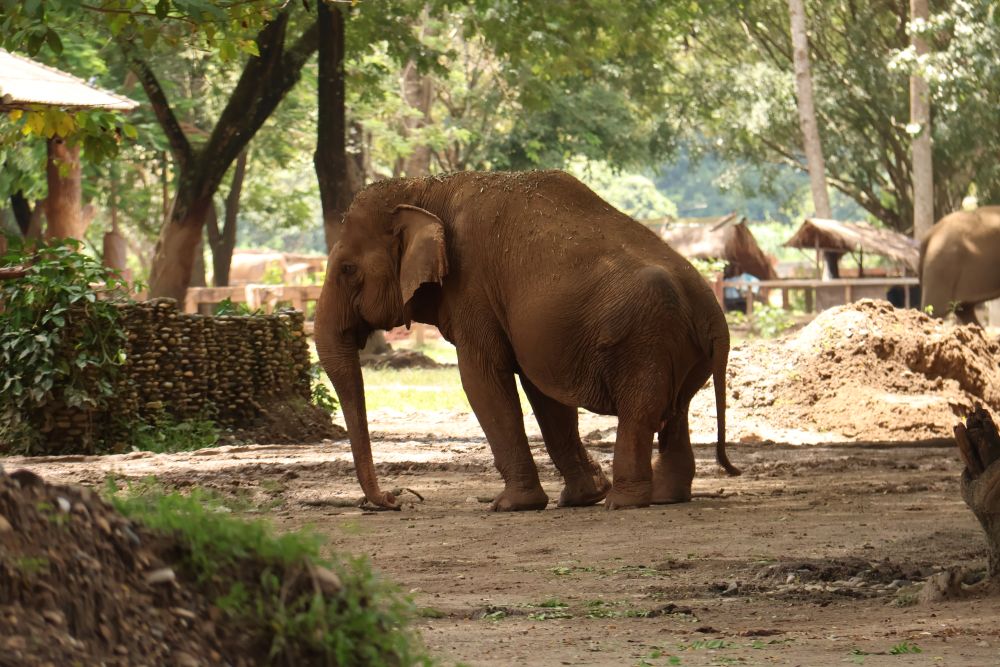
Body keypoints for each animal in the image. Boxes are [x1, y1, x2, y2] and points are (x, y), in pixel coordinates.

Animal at [314, 170, 739, 511]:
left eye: (347, 269)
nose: (395, 499)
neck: (425, 188)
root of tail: (714, 315)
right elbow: (543, 393)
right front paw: (581, 497)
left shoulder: (472, 289)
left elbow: (482, 380)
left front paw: (509, 506)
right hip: (679, 348)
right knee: (677, 409)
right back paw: (664, 497)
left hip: (644, 342)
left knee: (642, 413)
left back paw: (623, 503)